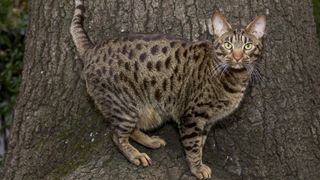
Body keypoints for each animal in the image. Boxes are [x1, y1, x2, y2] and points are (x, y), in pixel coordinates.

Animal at [71, 0, 266, 179]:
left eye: (247, 46)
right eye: (228, 45)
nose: (238, 57)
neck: (234, 77)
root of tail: (91, 49)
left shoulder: (207, 120)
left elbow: (201, 142)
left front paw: (199, 161)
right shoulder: (192, 116)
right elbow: (193, 145)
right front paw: (197, 168)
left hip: (148, 112)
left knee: (131, 130)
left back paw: (150, 141)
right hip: (124, 106)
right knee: (116, 135)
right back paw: (135, 155)